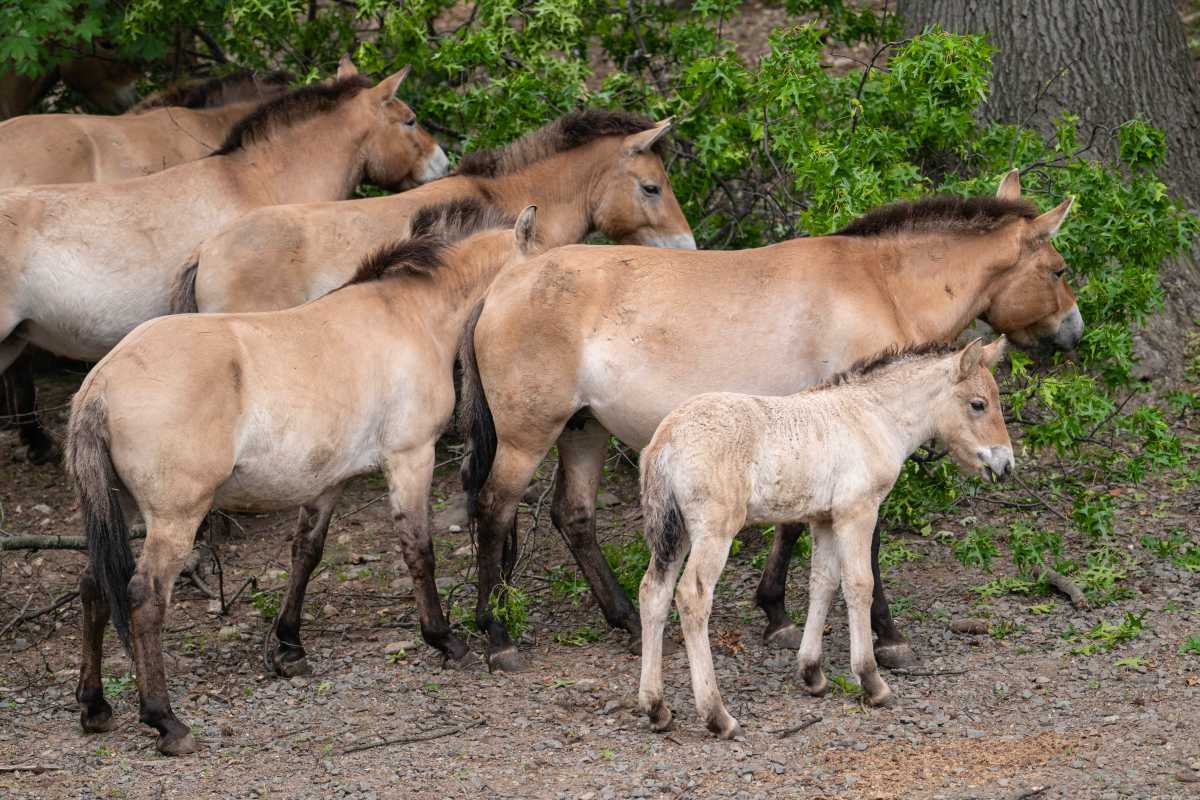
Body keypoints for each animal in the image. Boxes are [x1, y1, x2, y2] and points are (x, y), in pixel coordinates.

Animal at [66, 201, 539, 756]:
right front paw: (444, 639)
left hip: (114, 508)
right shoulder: (410, 457)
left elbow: (305, 554)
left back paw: (95, 707)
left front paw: (289, 647)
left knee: (94, 585)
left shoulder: (328, 481)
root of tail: (101, 384)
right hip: (176, 517)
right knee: (143, 596)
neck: (410, 316)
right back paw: (166, 721)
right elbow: (418, 550)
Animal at [456, 171, 1079, 672]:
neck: (880, 285)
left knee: (575, 517)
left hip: (583, 430)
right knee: (494, 510)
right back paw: (498, 636)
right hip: (527, 438)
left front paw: (776, 613)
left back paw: (628, 622)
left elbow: (793, 525)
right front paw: (887, 637)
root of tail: (505, 283)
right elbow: (864, 546)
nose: (1073, 332)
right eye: (1057, 269)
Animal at [637, 338, 1012, 738]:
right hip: (714, 531)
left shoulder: (824, 519)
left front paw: (812, 673)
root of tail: (666, 439)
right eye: (978, 404)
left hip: (674, 533)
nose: (1006, 465)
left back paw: (656, 708)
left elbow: (823, 583)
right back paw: (717, 716)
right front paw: (872, 681)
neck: (873, 417)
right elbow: (859, 585)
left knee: (653, 592)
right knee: (693, 596)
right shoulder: (857, 511)